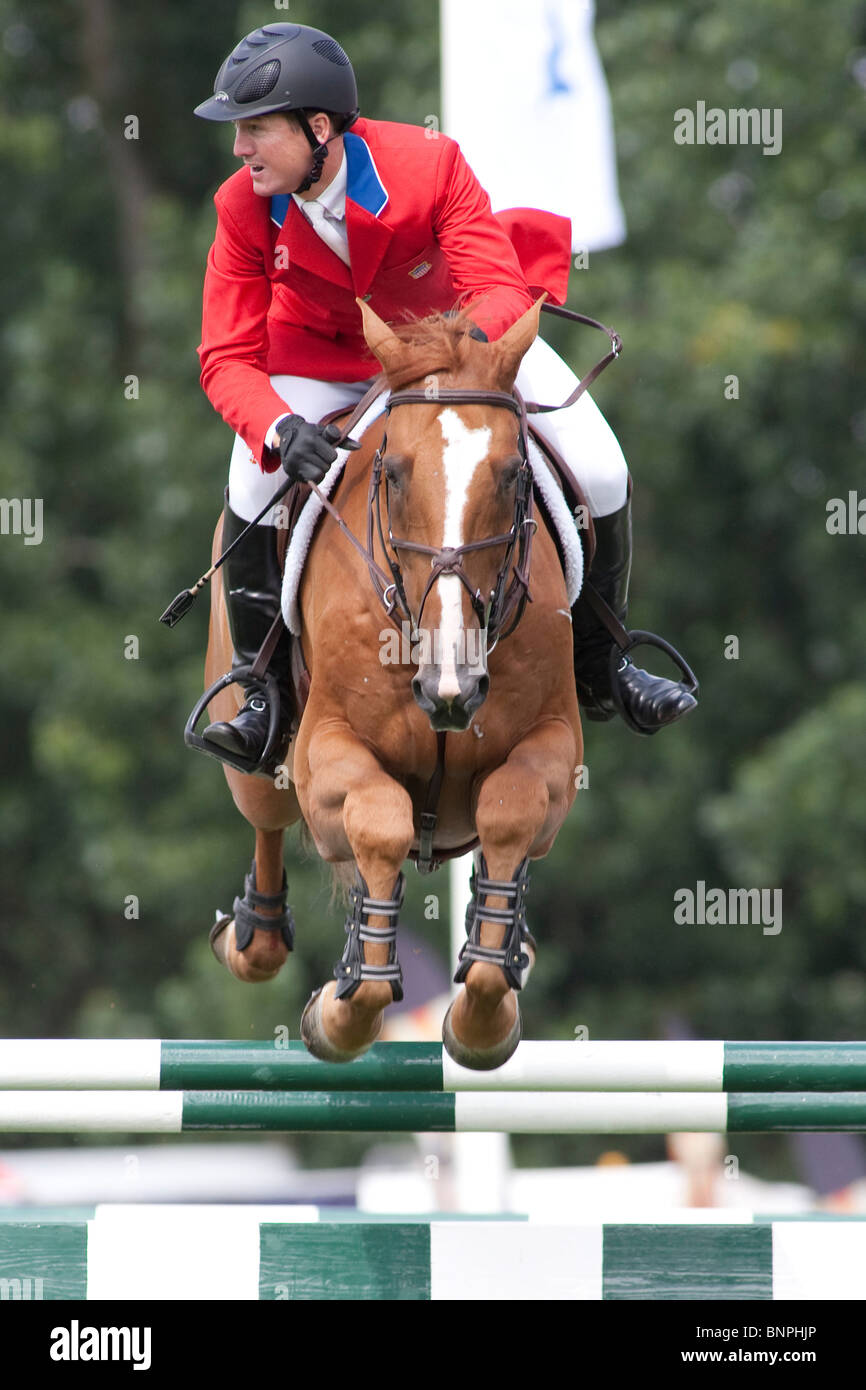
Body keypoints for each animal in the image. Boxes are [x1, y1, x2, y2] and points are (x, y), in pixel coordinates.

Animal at [204, 296, 582, 1070]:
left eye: (513, 475)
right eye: (397, 474)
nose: (451, 687)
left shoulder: (557, 745)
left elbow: (511, 810)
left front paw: (483, 1014)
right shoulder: (326, 753)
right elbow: (379, 823)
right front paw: (344, 1008)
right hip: (259, 760)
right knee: (267, 814)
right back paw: (256, 933)